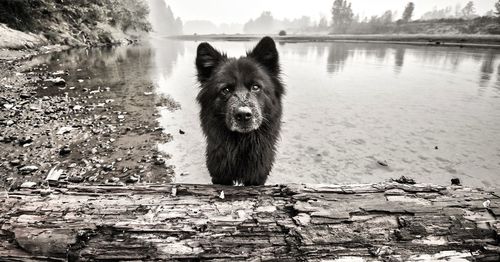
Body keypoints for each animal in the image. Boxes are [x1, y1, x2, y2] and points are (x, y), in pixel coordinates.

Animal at [194, 36, 284, 185]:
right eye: (226, 90)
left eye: (255, 87)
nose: (243, 115)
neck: (242, 143)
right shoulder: (219, 175)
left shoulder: (258, 176)